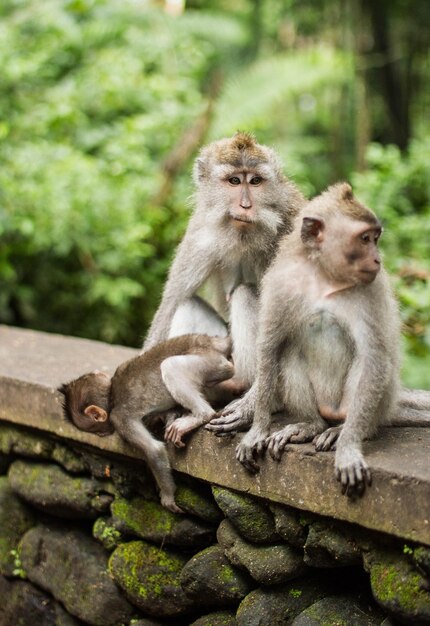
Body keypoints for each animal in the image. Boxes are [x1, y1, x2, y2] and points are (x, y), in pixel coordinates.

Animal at [59, 334, 235, 510]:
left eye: (96, 431)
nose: (102, 435)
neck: (111, 394)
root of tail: (211, 341)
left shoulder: (120, 418)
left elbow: (154, 450)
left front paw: (167, 496)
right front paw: (169, 415)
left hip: (212, 363)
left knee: (171, 367)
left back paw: (201, 415)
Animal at [144, 132, 306, 386]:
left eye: (255, 181)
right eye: (234, 181)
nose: (246, 205)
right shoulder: (200, 230)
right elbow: (172, 301)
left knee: (244, 293)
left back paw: (239, 380)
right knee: (187, 302)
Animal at [217, 183, 428, 494]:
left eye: (374, 238)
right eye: (365, 238)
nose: (377, 258)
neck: (325, 278)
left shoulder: (372, 290)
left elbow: (375, 360)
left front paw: (348, 449)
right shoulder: (282, 282)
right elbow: (270, 347)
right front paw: (256, 429)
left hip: (365, 406)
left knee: (366, 368)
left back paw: (343, 431)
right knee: (289, 351)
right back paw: (310, 425)